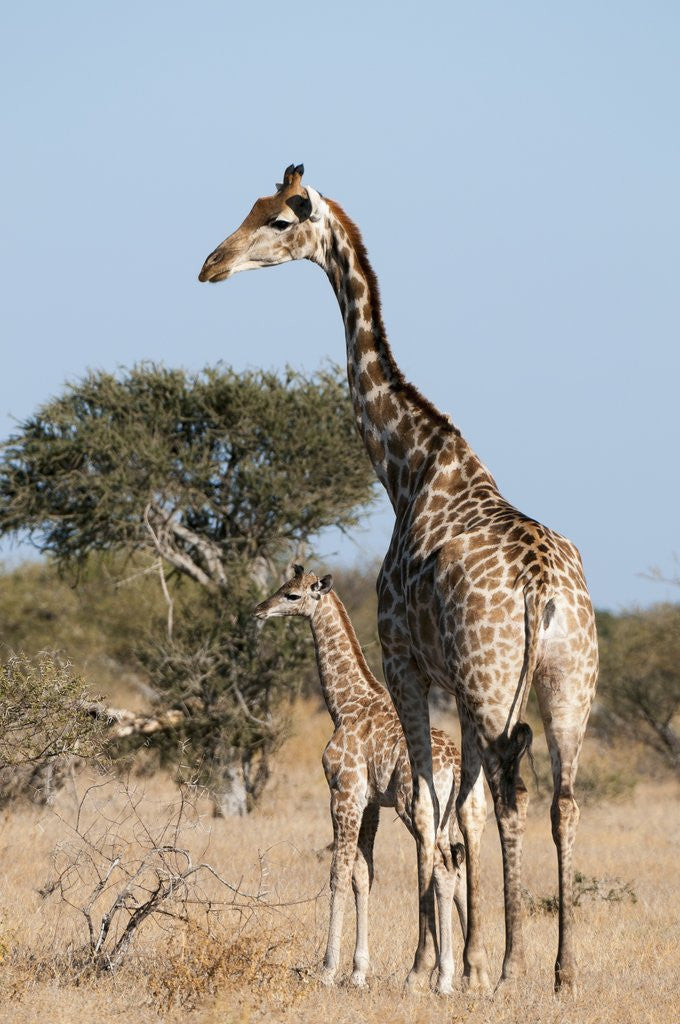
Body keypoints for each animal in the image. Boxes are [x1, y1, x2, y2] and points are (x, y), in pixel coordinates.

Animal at [254, 565, 471, 993]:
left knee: (441, 870)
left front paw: (327, 969)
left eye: (292, 595)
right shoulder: (370, 802)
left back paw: (435, 977)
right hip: (447, 814)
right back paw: (454, 976)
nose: (260, 610)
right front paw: (357, 972)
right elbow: (363, 875)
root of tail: (454, 765)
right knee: (456, 870)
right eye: (282, 587)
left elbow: (337, 873)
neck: (345, 705)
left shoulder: (344, 792)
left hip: (413, 808)